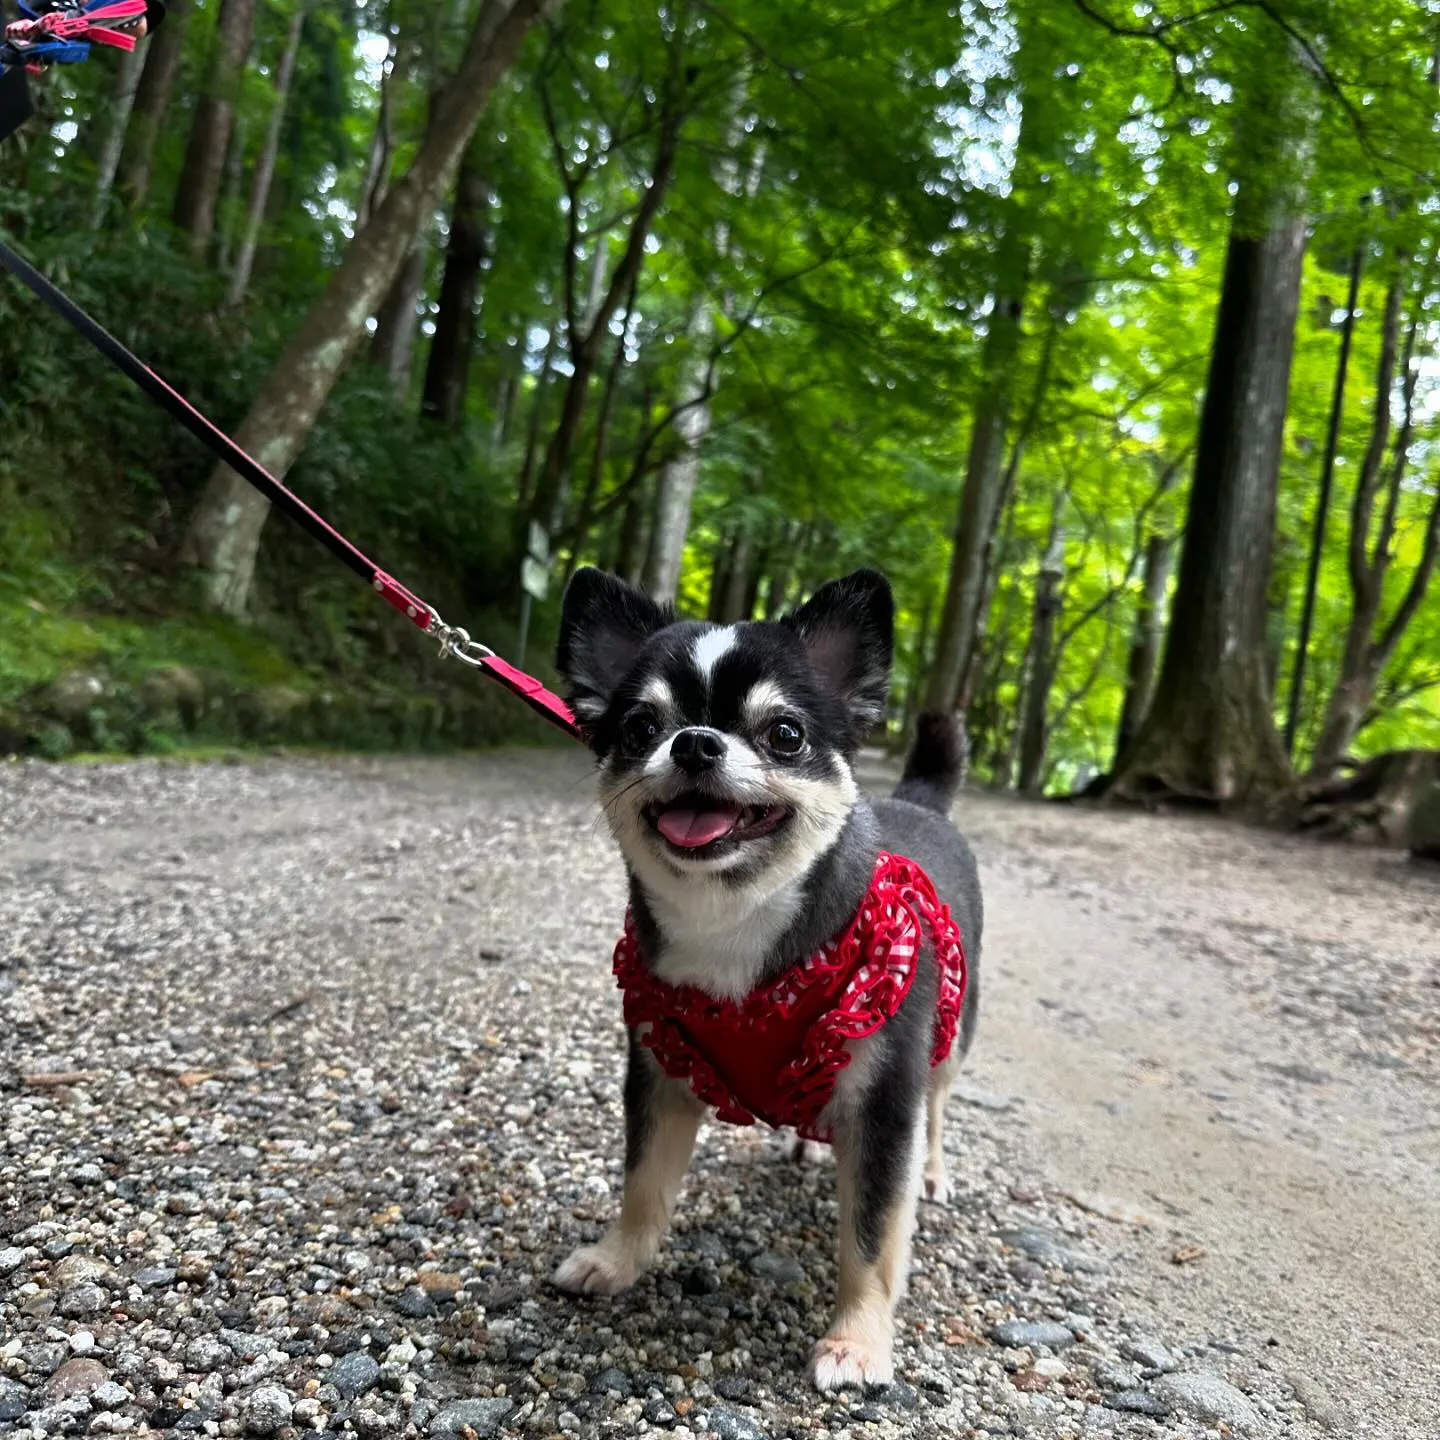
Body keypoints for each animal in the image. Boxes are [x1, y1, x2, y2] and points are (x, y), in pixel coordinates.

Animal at [547, 567, 979, 1388]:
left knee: (938, 1110)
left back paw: (935, 1172)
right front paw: (618, 1261)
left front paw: (857, 1340)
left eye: (785, 734)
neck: (732, 922)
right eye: (639, 729)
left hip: (950, 1036)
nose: (694, 741)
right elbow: (643, 1182)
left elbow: (872, 1236)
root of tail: (919, 803)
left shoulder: (887, 1104)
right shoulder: (659, 1072)